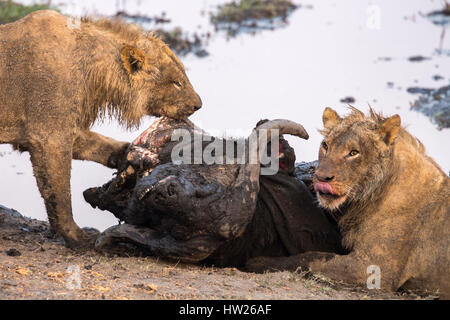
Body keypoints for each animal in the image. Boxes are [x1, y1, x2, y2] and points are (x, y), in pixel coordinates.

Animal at [0, 10, 202, 248]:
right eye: (176, 83)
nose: (199, 105)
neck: (93, 74)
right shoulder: (49, 136)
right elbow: (59, 193)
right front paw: (76, 236)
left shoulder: (65, 128)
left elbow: (98, 145)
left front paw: (130, 156)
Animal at [248, 107, 448, 298]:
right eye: (325, 145)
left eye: (353, 153)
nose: (321, 177)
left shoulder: (374, 267)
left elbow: (311, 259)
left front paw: (259, 261)